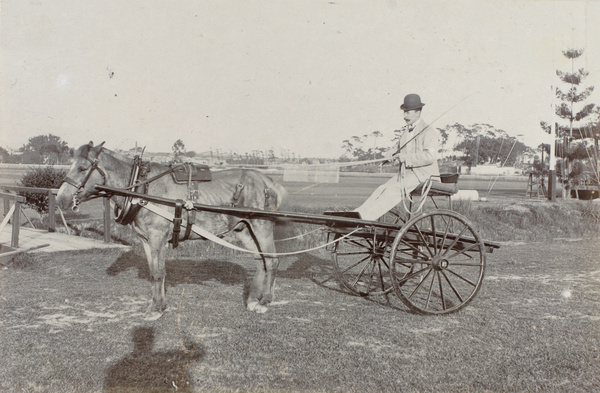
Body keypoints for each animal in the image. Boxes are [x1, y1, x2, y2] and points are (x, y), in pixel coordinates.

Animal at [56, 142, 288, 318]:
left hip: (262, 226)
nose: (61, 199)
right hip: (245, 229)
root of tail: (268, 180)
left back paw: (265, 301)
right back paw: (253, 300)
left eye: (82, 169)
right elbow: (153, 273)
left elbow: (159, 273)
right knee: (260, 261)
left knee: (272, 261)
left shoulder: (158, 238)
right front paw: (156, 305)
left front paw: (156, 309)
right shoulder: (146, 240)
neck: (143, 189)